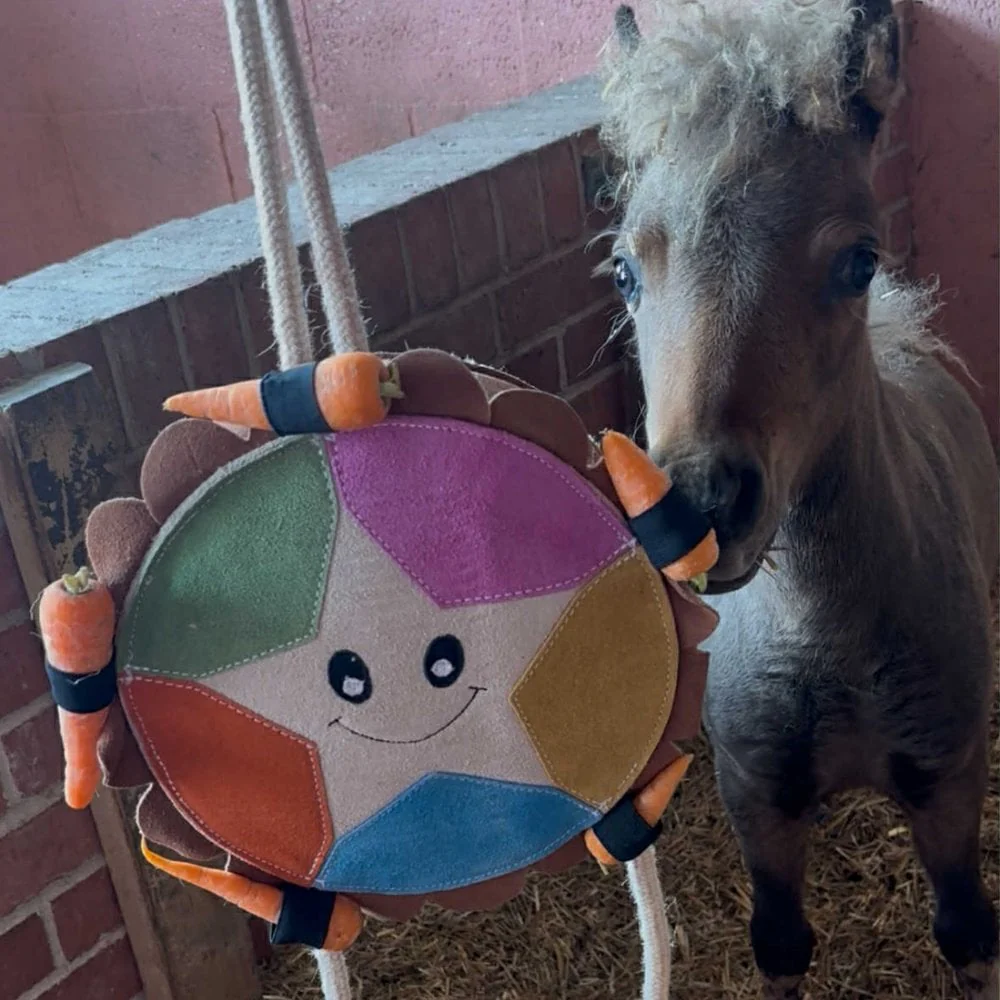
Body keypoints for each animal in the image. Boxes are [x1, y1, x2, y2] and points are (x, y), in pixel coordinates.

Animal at [600, 2, 998, 996]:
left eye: (857, 260)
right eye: (625, 271)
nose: (698, 504)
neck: (828, 639)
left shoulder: (948, 780)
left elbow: (968, 931)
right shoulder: (755, 792)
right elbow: (780, 943)